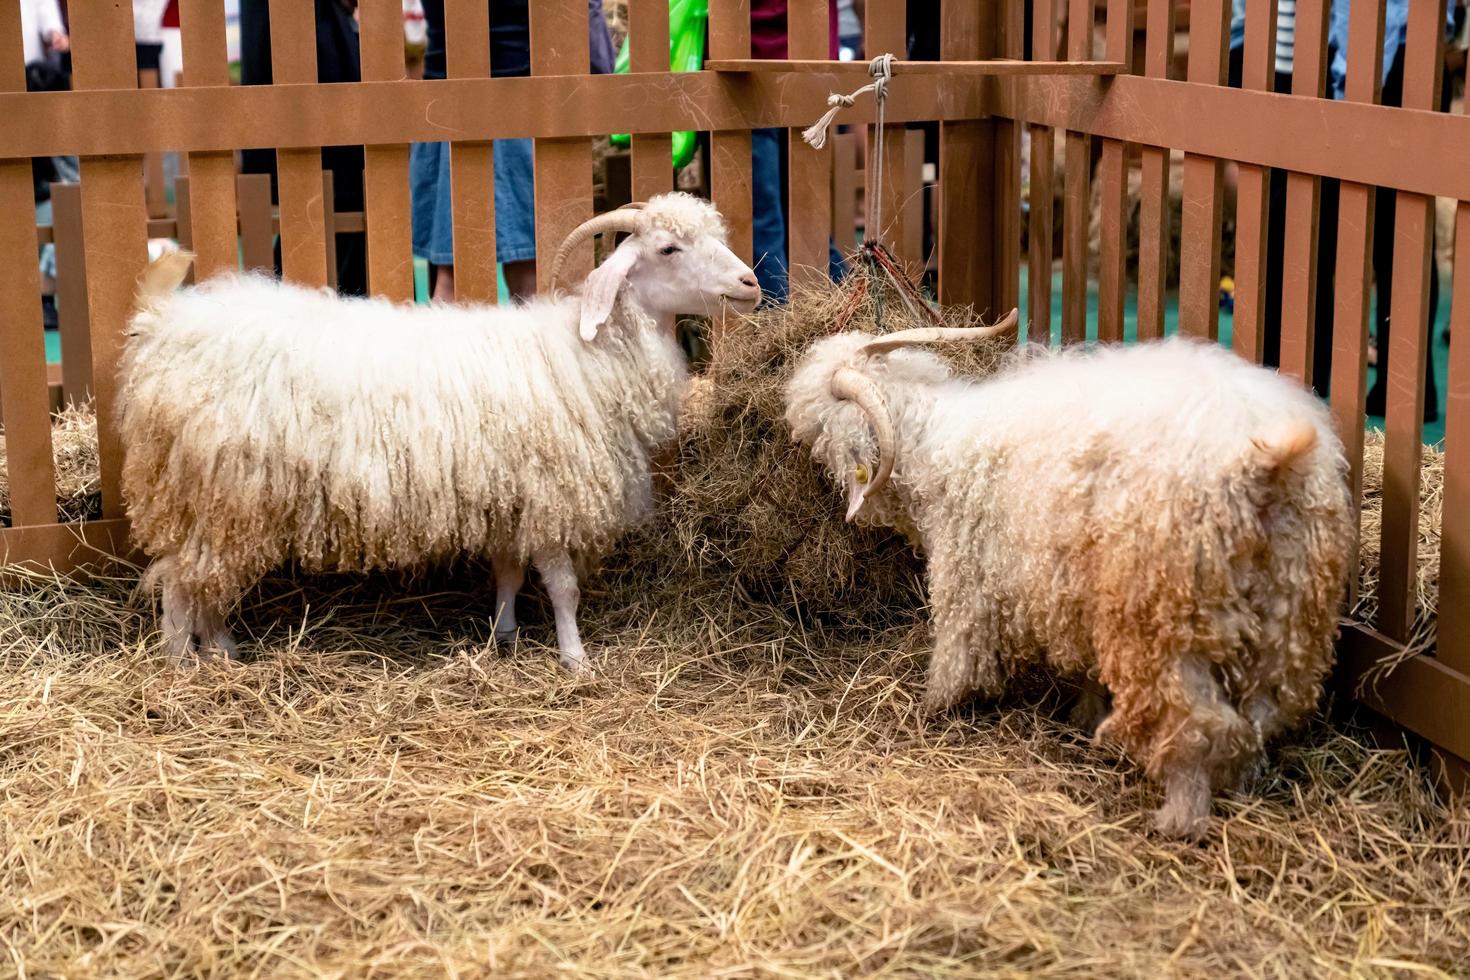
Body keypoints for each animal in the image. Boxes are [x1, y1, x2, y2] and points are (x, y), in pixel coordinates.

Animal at [119, 191, 758, 669]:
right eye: (669, 248)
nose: (751, 283)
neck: (589, 350)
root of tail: (162, 326)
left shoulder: (510, 499)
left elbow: (508, 572)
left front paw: (504, 634)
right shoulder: (551, 494)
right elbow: (563, 588)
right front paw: (575, 658)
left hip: (221, 504)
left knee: (199, 579)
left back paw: (222, 649)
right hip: (219, 491)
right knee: (179, 584)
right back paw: (182, 668)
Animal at [793, 327, 1352, 834]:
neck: (935, 448)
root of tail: (1264, 461)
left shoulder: (967, 579)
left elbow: (956, 655)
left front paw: (933, 707)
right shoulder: (1078, 591)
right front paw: (1085, 714)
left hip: (1163, 618)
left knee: (1195, 723)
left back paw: (1180, 818)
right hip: (1288, 615)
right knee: (1259, 714)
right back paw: (1243, 781)